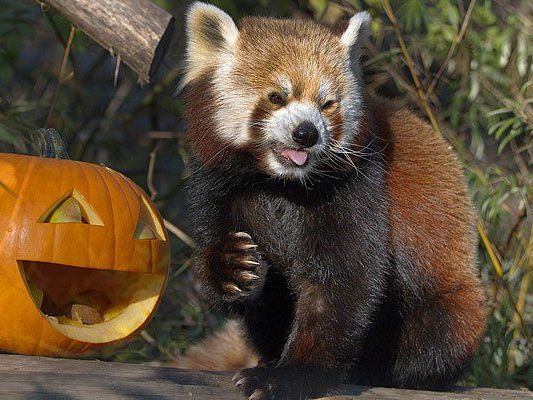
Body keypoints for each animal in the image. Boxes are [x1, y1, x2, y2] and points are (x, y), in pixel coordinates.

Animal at [179, 1, 486, 398]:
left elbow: (343, 281)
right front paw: (232, 265)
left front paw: (291, 375)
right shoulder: (218, 186)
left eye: (326, 104)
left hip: (449, 294)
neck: (280, 184)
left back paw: (386, 371)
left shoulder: (358, 188)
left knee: (438, 329)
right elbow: (224, 260)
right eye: (277, 97)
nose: (306, 133)